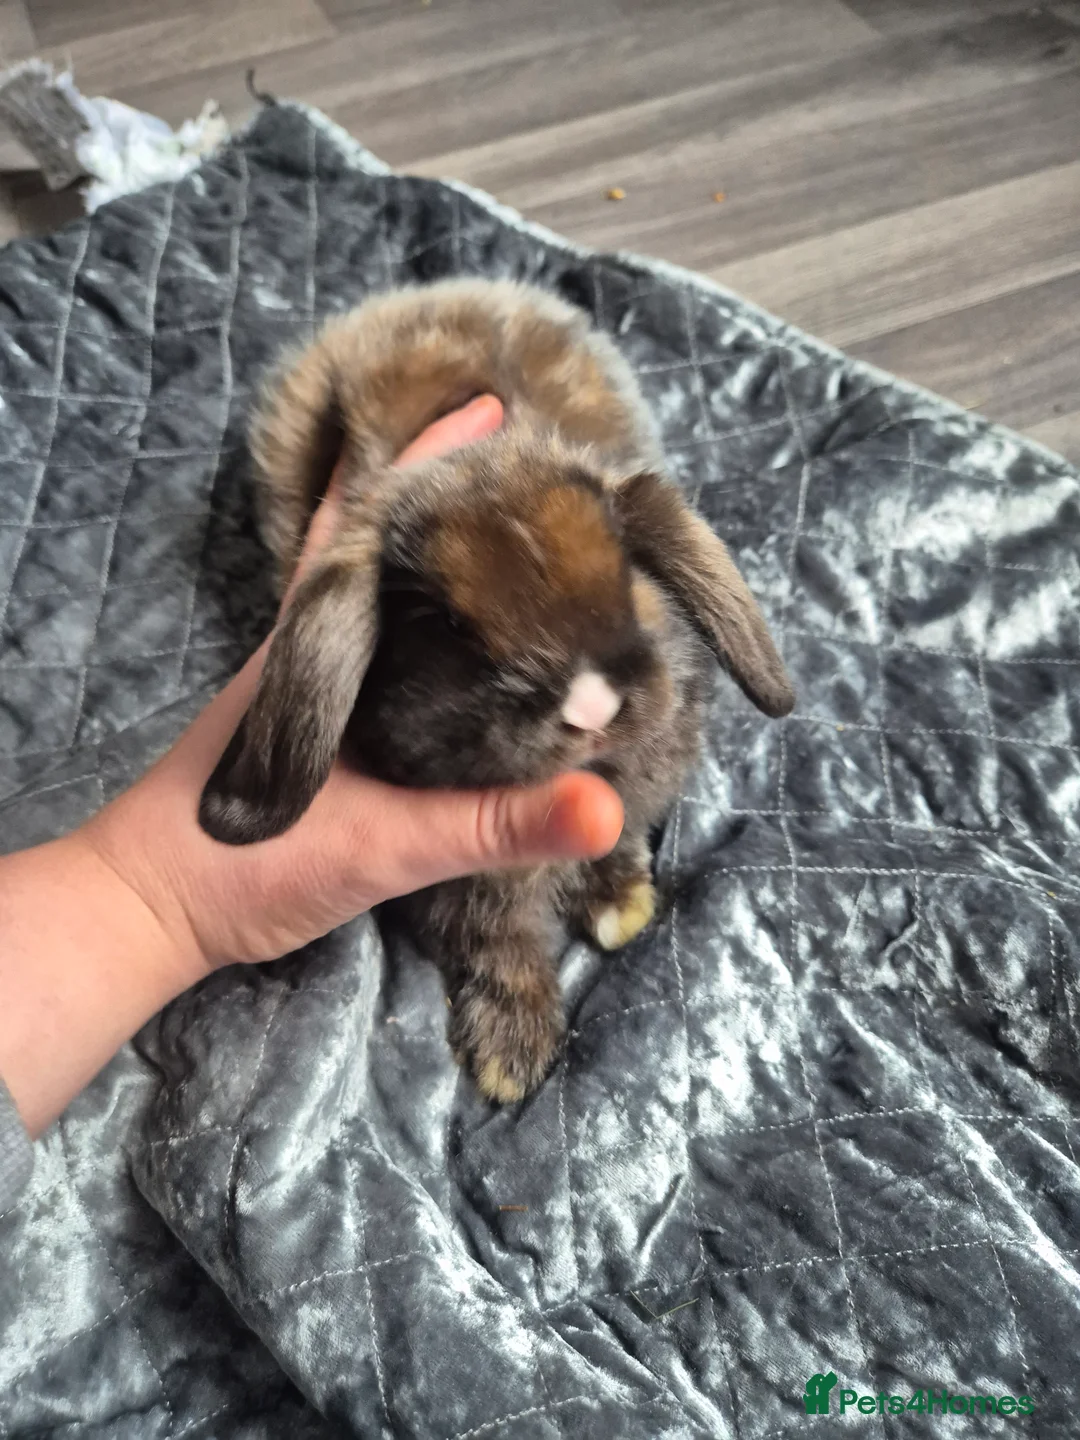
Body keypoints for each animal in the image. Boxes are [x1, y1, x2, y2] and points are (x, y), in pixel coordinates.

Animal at [199, 278, 794, 1102]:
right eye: (444, 623)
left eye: (624, 570)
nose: (591, 704)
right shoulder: (462, 891)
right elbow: (499, 946)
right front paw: (512, 1056)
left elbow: (615, 849)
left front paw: (619, 903)